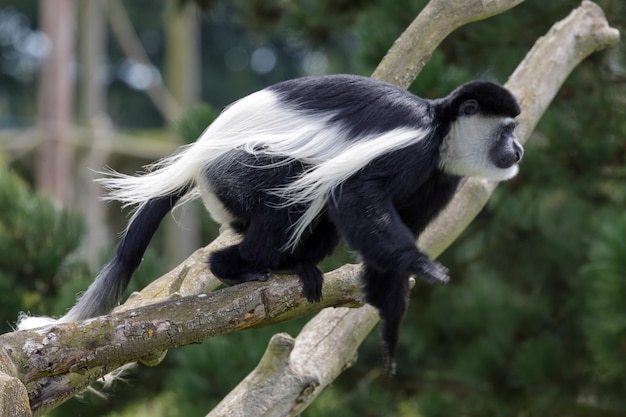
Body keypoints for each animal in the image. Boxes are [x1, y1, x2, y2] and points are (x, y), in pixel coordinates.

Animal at [19, 74, 520, 374]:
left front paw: (391, 335)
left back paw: (292, 266)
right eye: (507, 129)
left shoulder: (438, 178)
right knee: (290, 197)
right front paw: (421, 264)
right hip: (238, 171)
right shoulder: (410, 148)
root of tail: (198, 157)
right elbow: (356, 192)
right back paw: (235, 267)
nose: (517, 151)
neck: (439, 130)